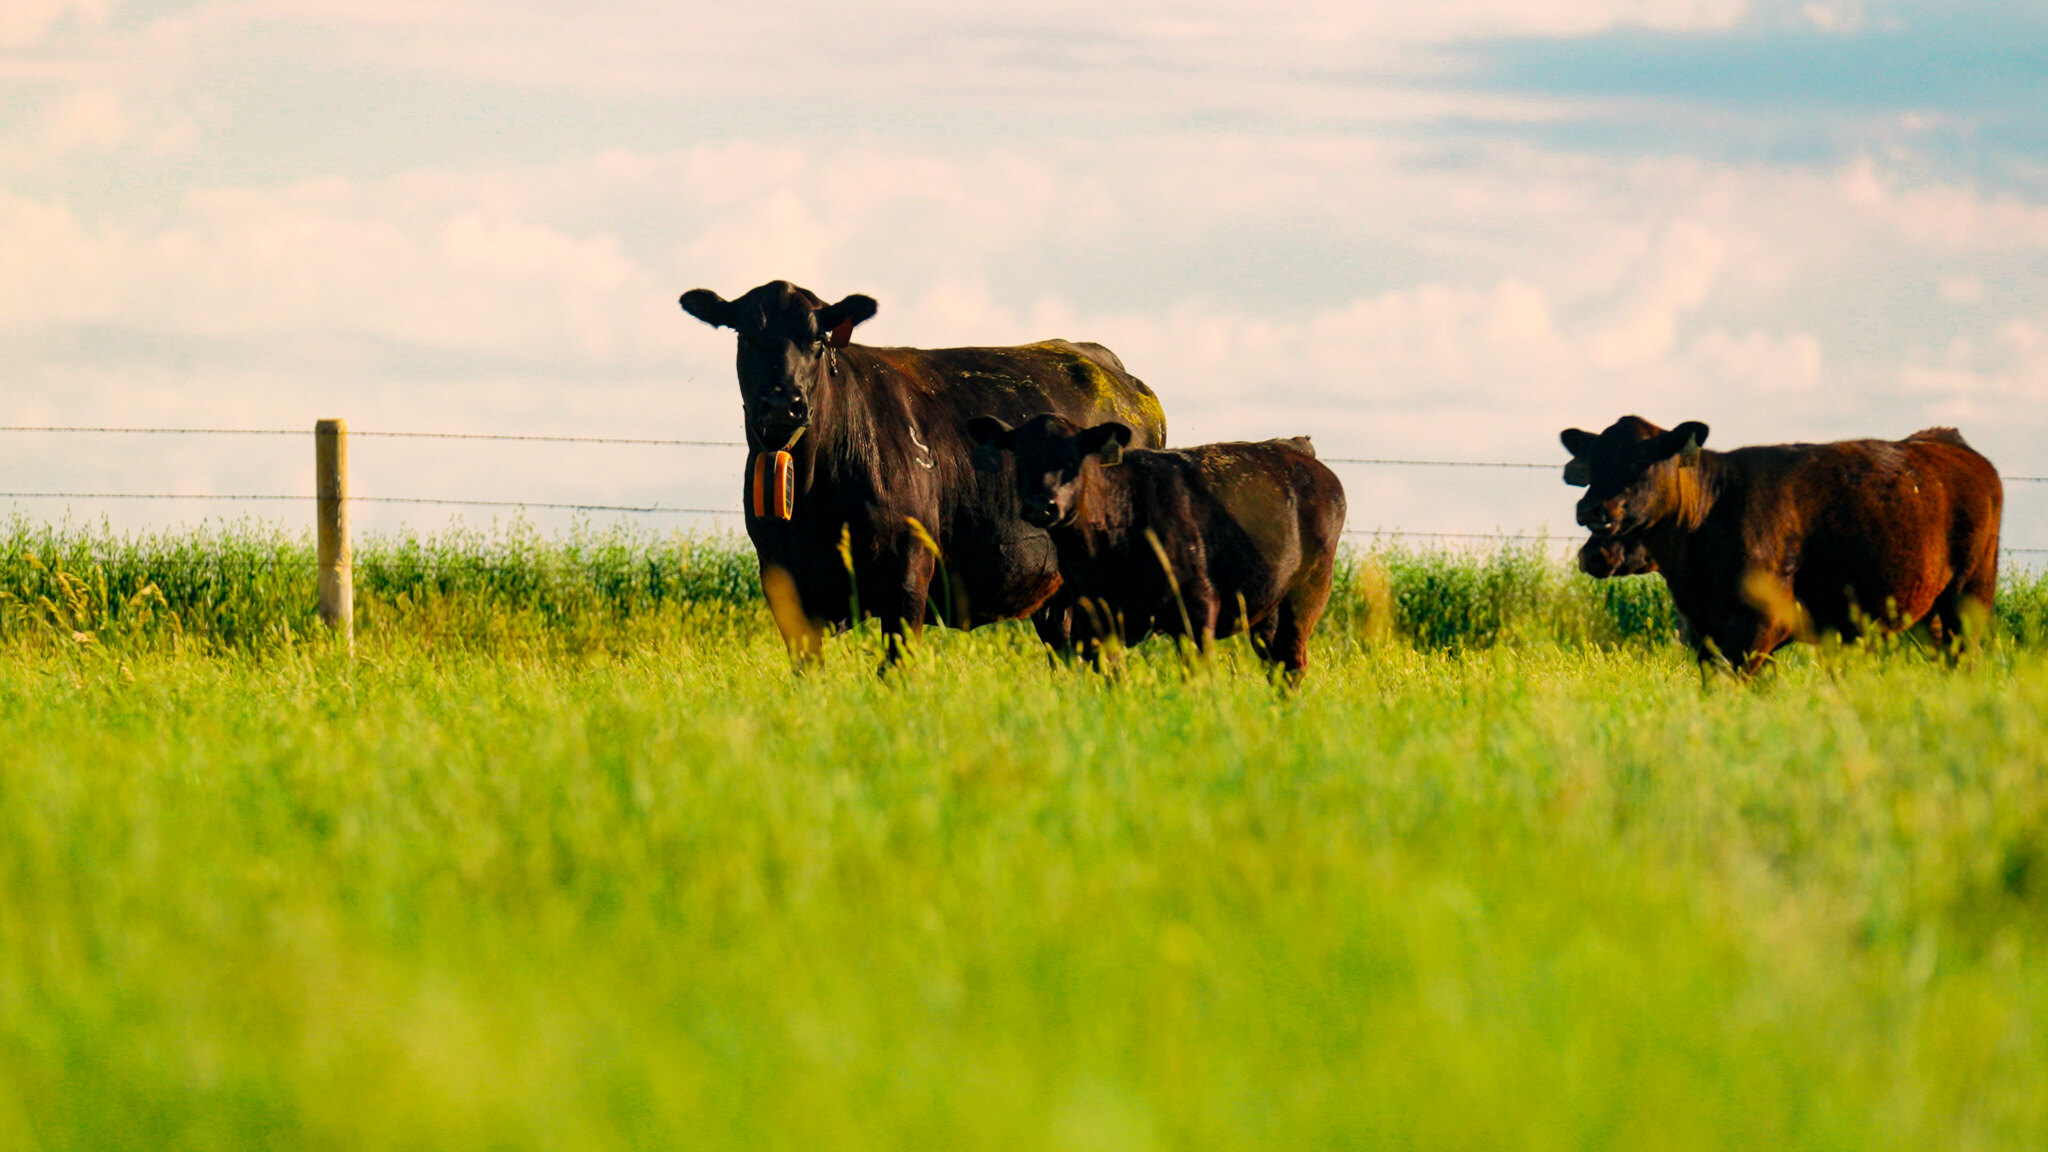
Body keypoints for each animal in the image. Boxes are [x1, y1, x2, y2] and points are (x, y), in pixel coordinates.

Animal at [678, 280, 1168, 663]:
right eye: (745, 335)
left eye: (818, 340)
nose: (784, 403)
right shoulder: (782, 578)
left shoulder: (908, 567)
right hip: (1061, 596)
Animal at [964, 414, 1347, 681]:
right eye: (1020, 458)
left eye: (1073, 459)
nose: (1041, 505)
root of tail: (1293, 448)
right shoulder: (1093, 619)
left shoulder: (1197, 608)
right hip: (1266, 606)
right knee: (1276, 664)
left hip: (1309, 591)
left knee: (1292, 662)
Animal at [1558, 415, 2003, 673]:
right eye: (1593, 463)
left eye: (1638, 461)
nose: (1589, 508)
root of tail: (1945, 443)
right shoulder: (1704, 631)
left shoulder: (1758, 624)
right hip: (1929, 609)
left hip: (1969, 593)